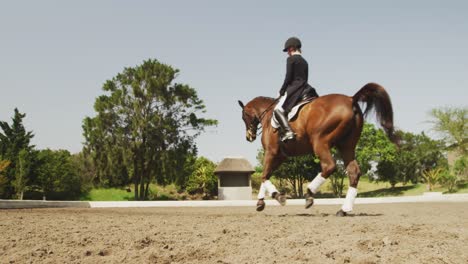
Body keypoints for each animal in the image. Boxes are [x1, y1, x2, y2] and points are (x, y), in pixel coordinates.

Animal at [238, 82, 394, 217]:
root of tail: (351, 99)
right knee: (353, 172)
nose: (249, 136)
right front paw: (260, 203)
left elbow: (264, 175)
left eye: (244, 116)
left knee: (329, 166)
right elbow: (267, 175)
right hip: (347, 146)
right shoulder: (281, 156)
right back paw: (343, 210)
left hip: (320, 142)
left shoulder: (271, 152)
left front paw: (277, 197)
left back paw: (309, 195)